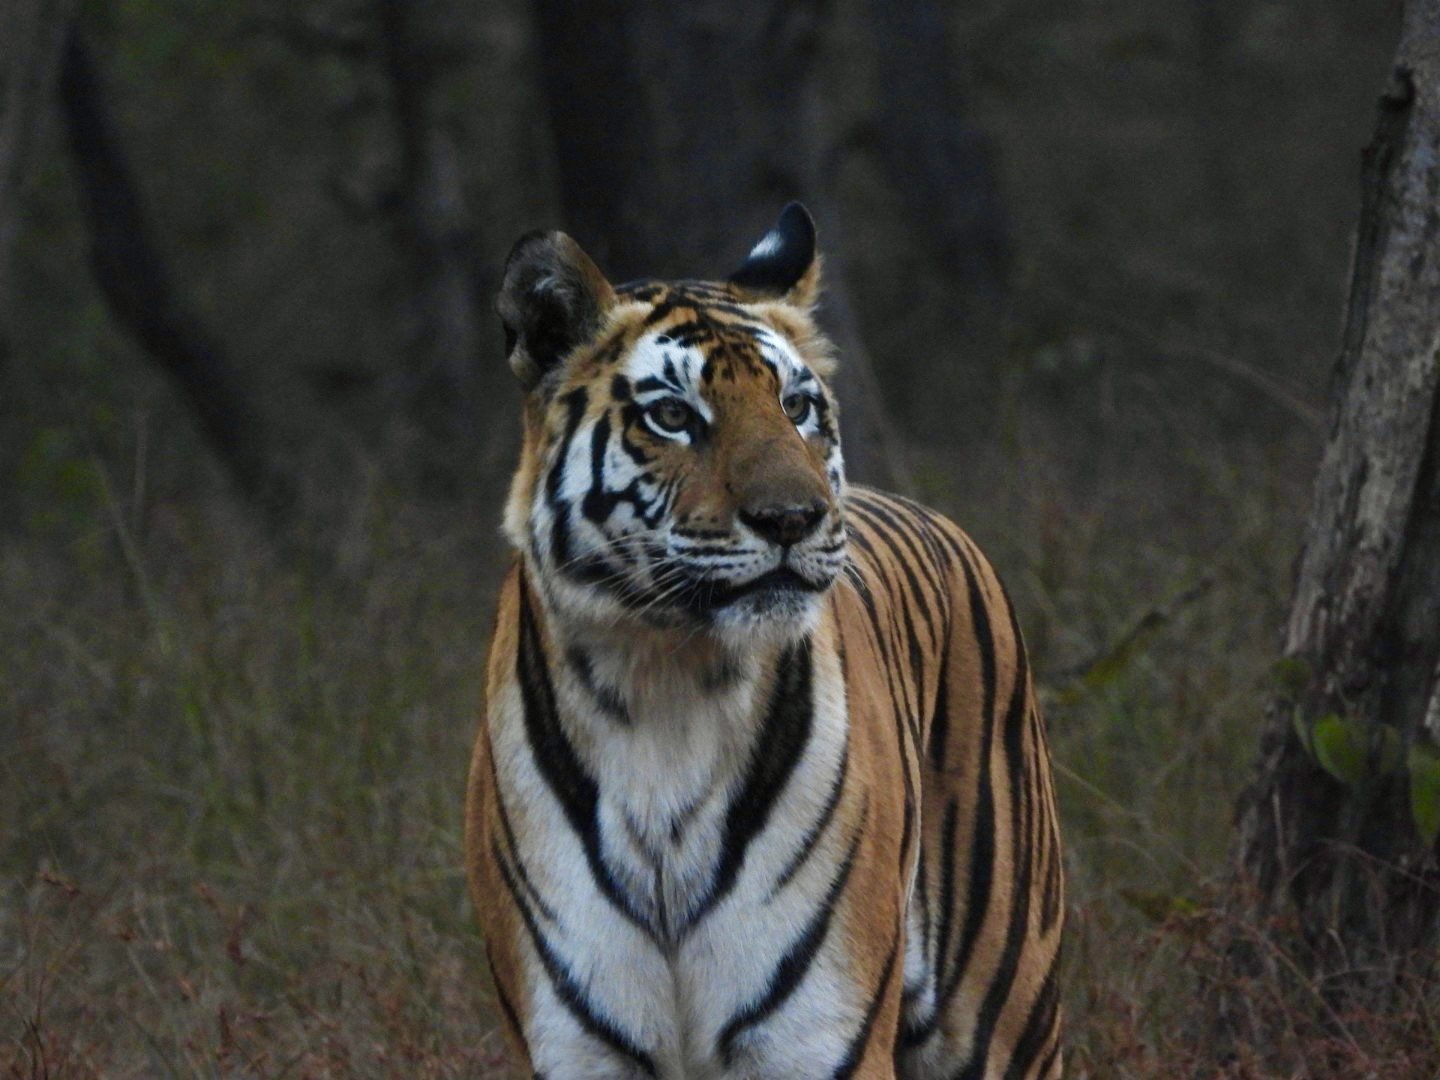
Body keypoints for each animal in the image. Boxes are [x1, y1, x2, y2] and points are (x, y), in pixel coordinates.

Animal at [464, 204, 1064, 1080]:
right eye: (674, 416)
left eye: (798, 406)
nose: (794, 518)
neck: (663, 686)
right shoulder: (577, 1047)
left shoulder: (818, 1039)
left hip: (1000, 1010)